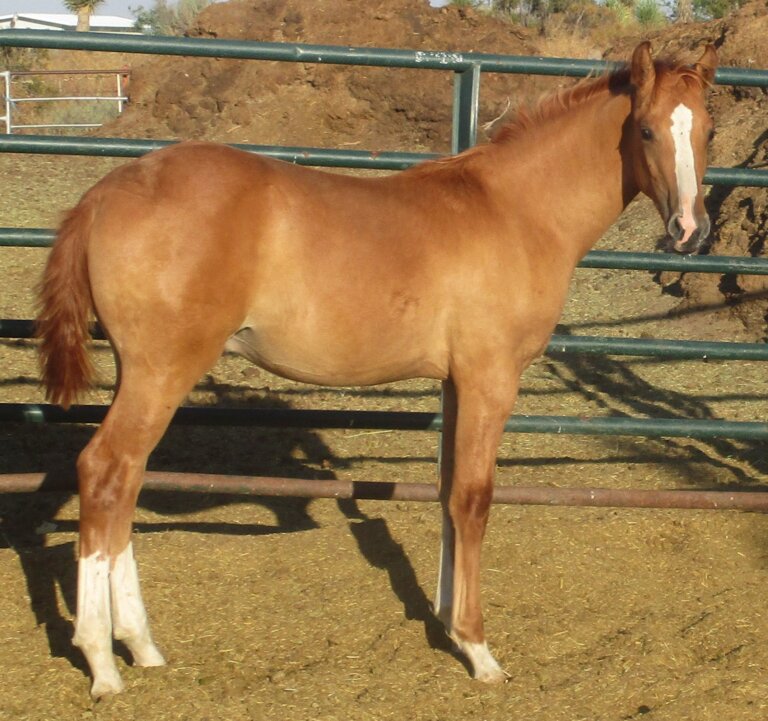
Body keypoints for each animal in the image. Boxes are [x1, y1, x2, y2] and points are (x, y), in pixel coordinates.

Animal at [35, 41, 717, 696]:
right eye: (647, 130)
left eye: (708, 131)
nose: (690, 229)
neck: (515, 210)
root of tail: (107, 191)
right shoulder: (490, 378)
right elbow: (474, 499)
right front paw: (479, 649)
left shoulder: (456, 384)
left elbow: (447, 493)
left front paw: (447, 623)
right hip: (162, 371)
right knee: (105, 473)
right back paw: (102, 663)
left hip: (140, 373)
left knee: (124, 481)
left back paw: (141, 645)